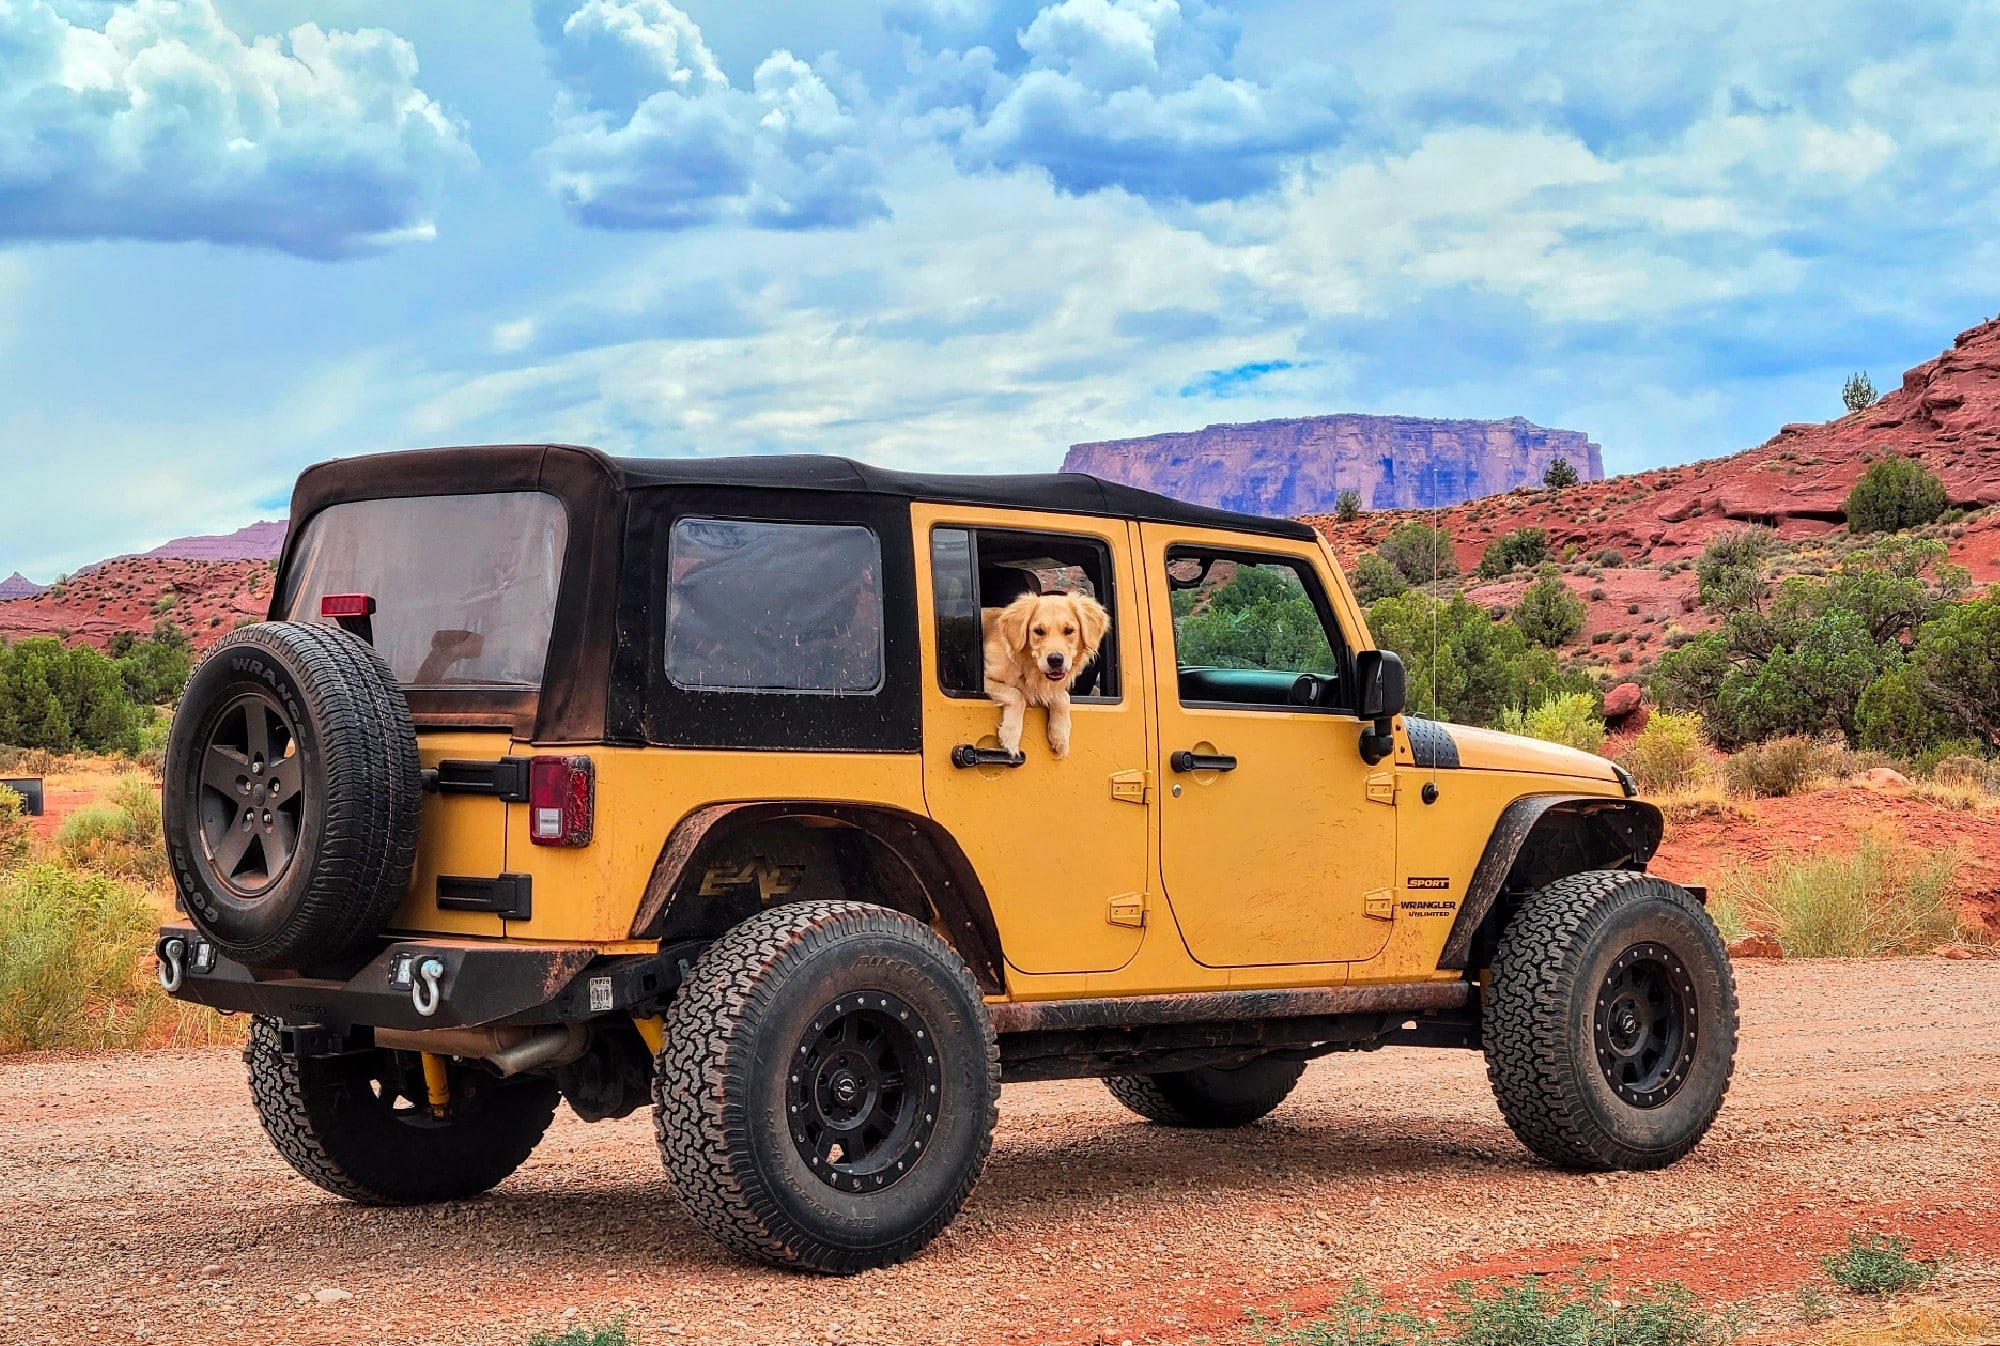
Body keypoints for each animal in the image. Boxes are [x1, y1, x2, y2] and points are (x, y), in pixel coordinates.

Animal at [980, 588, 1112, 756]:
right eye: (1038, 631)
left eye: (1069, 630)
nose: (1055, 660)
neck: (1028, 668)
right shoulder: (984, 681)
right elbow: (1017, 694)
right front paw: (1010, 736)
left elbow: (1063, 697)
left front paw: (1060, 736)